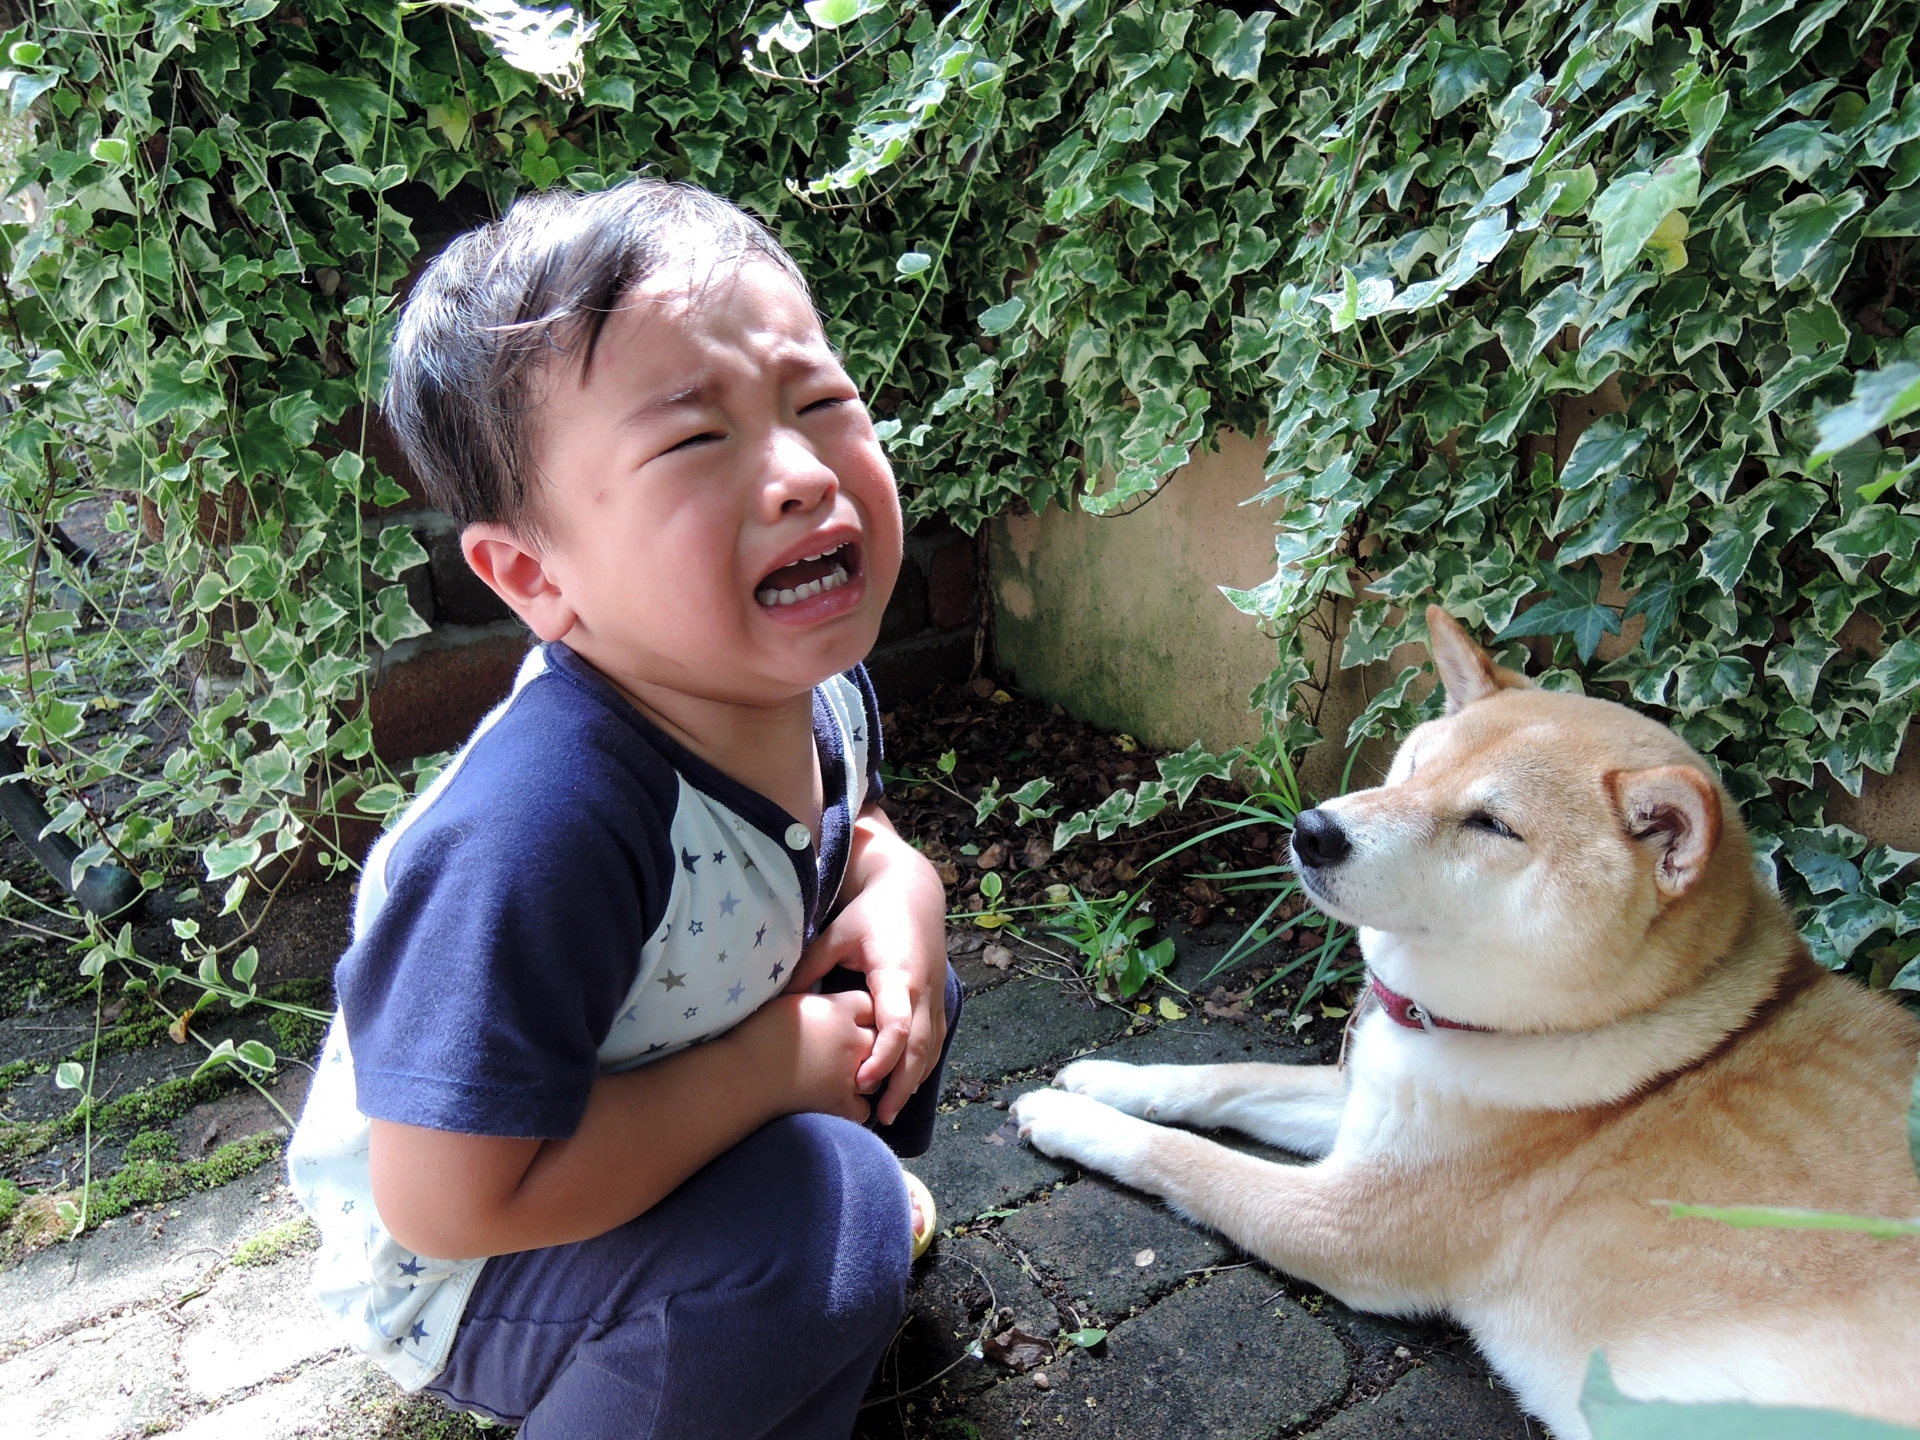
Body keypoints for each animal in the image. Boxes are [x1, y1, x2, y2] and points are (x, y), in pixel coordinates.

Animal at [1013, 606, 1912, 1436]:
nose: (1311, 829)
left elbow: (1183, 1158)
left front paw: (1068, 1118)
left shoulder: (1349, 1223)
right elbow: (1223, 1080)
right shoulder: (1368, 1107)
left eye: (1492, 824)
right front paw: (1107, 1077)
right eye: (1415, 765)